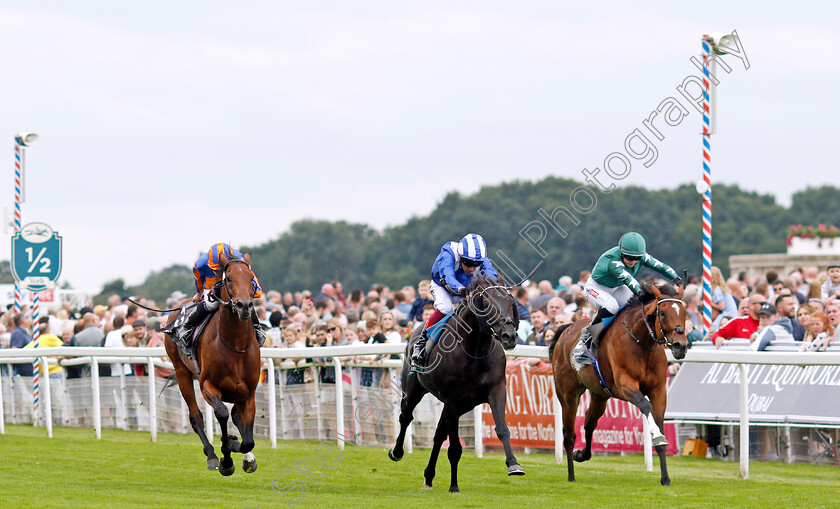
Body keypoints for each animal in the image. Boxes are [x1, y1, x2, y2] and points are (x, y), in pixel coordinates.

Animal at [162, 252, 260, 474]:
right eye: (228, 279)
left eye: (251, 278)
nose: (244, 306)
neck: (235, 345)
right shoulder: (207, 384)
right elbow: (222, 413)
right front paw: (227, 458)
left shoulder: (249, 392)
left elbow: (247, 438)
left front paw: (241, 450)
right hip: (182, 372)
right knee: (195, 416)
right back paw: (212, 455)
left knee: (235, 416)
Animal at [388, 274, 524, 492]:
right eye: (486, 303)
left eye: (511, 302)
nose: (508, 336)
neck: (474, 350)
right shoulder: (453, 399)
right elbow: (454, 448)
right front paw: (454, 486)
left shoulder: (496, 390)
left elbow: (503, 429)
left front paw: (514, 464)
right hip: (413, 389)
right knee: (406, 416)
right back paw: (397, 452)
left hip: (461, 405)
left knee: (438, 434)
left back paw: (428, 477)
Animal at [548, 282, 684, 484]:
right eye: (663, 313)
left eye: (684, 312)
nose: (681, 346)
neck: (641, 342)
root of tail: (565, 330)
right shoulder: (625, 385)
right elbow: (645, 406)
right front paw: (658, 437)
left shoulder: (658, 391)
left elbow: (658, 421)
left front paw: (665, 478)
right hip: (567, 394)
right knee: (569, 435)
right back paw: (571, 475)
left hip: (599, 394)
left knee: (589, 423)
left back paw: (582, 454)